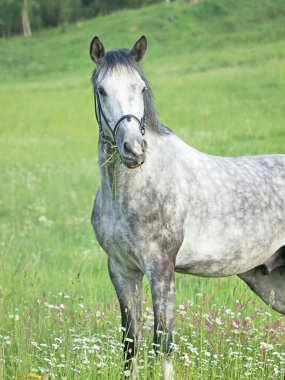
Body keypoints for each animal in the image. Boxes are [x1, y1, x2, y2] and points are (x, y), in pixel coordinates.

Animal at [89, 35, 284, 378]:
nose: (134, 150)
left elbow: (162, 343)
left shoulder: (161, 270)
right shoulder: (122, 270)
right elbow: (131, 344)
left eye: (140, 87)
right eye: (102, 90)